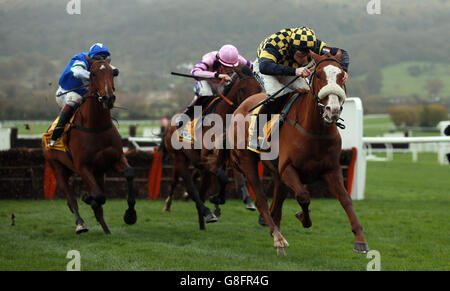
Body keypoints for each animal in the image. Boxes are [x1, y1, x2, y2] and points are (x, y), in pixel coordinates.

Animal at [43, 56, 136, 235]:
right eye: (92, 73)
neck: (96, 126)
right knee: (71, 200)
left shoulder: (114, 159)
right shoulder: (83, 166)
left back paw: (106, 229)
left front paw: (130, 215)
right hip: (57, 168)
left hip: (97, 172)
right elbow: (99, 196)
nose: (108, 98)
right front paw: (88, 198)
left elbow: (128, 173)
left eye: (112, 72)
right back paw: (81, 224)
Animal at [163, 65, 262, 230]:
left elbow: (230, 178)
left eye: (259, 87)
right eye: (242, 89)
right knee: (189, 186)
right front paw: (216, 201)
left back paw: (203, 220)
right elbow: (223, 177)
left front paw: (218, 200)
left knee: (200, 189)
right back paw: (203, 212)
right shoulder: (207, 158)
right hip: (179, 158)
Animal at [225, 52, 370, 256]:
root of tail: (240, 107)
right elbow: (303, 195)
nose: (332, 110)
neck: (315, 131)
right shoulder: (288, 169)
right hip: (248, 162)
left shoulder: (331, 170)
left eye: (341, 75)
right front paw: (303, 217)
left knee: (275, 207)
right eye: (318, 75)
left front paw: (360, 240)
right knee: (262, 201)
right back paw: (278, 238)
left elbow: (346, 199)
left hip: (278, 176)